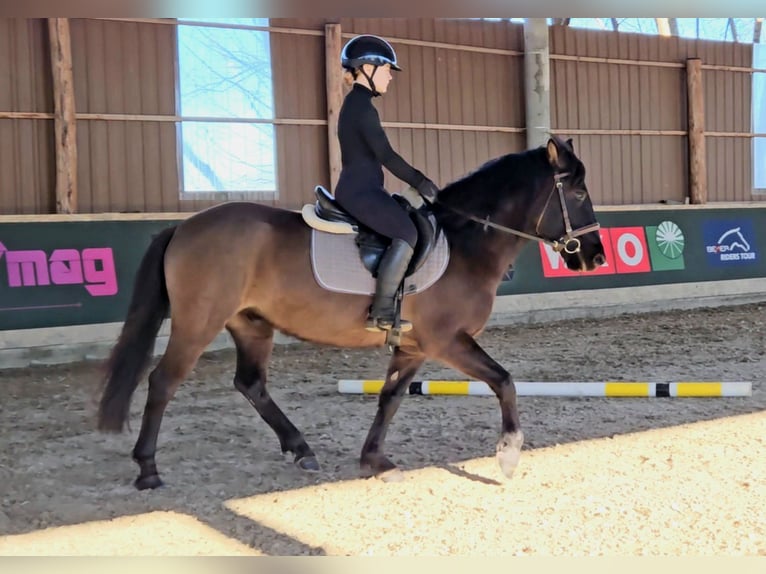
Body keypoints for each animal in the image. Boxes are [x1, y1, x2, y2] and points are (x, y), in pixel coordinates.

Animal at [99, 136, 608, 490]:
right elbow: (504, 380)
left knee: (250, 384)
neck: (466, 243)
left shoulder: (413, 345)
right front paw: (508, 454)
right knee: (163, 382)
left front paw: (376, 461)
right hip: (198, 322)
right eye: (580, 193)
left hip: (251, 324)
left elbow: (391, 397)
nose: (596, 257)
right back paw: (148, 469)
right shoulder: (447, 340)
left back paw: (301, 449)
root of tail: (183, 227)